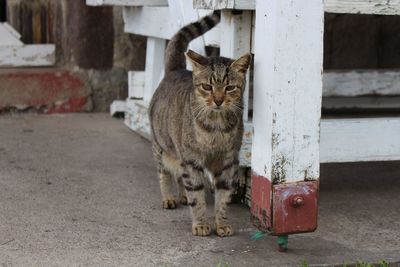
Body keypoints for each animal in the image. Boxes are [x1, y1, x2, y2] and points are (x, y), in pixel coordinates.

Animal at [150, 10, 250, 238]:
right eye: (207, 86)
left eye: (230, 87)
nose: (218, 100)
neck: (217, 128)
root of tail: (176, 70)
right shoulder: (192, 159)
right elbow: (197, 197)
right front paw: (201, 224)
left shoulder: (228, 161)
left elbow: (223, 197)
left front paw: (221, 224)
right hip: (161, 146)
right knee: (164, 173)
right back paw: (169, 197)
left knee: (180, 176)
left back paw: (181, 195)